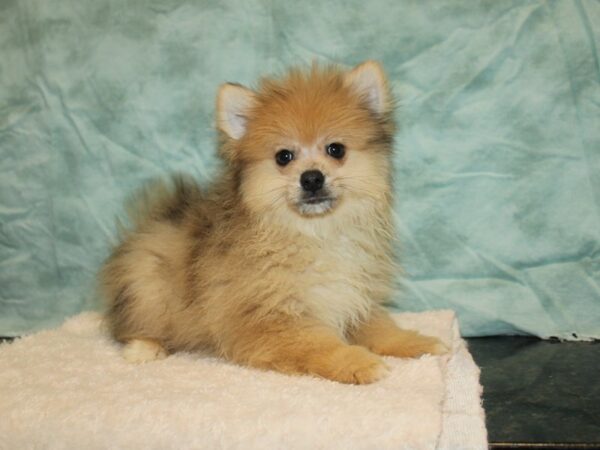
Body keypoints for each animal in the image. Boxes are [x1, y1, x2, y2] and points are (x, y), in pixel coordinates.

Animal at [99, 59, 446, 384]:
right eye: (284, 156)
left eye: (336, 149)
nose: (311, 178)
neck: (316, 233)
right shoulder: (271, 318)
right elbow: (319, 343)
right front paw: (357, 362)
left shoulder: (355, 297)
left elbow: (383, 328)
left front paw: (419, 343)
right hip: (150, 284)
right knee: (135, 324)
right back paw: (144, 347)